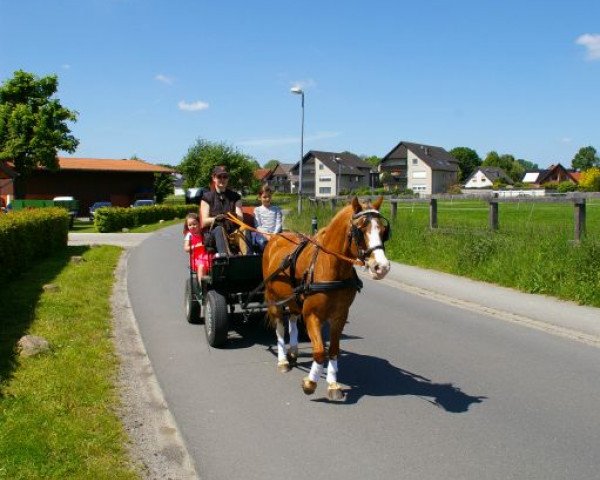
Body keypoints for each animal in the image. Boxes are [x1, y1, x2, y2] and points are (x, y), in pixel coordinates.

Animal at [262, 197, 392, 400]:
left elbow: (333, 350)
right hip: (273, 298)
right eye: (360, 230)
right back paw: (283, 360)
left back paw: (293, 350)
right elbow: (319, 351)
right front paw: (310, 382)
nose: (382, 267)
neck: (330, 266)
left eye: (383, 230)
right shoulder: (312, 315)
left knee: (292, 319)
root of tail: (276, 237)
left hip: (293, 298)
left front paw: (332, 384)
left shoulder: (340, 316)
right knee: (280, 326)